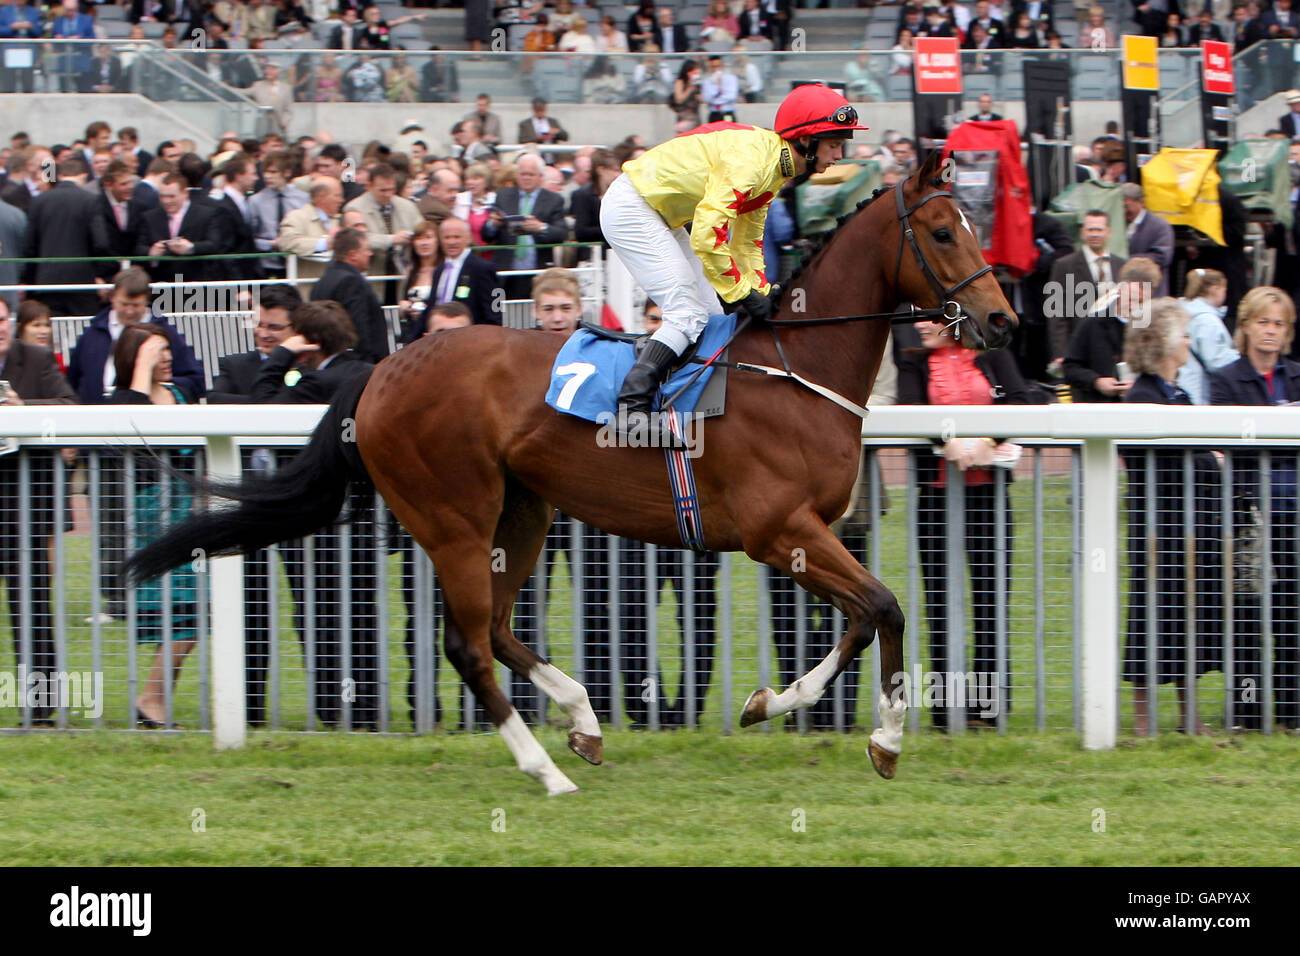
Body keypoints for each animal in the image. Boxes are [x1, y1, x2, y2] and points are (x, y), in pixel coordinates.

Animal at [124, 147, 1013, 790]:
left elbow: (866, 616)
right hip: (453, 515)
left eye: (975, 223)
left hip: (522, 509)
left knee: (496, 627)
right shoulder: (778, 531)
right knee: (467, 644)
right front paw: (870, 731)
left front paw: (798, 710)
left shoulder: (808, 534)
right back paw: (545, 768)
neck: (796, 369)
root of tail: (379, 373)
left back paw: (583, 720)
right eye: (942, 232)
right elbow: (885, 606)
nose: (1003, 320)